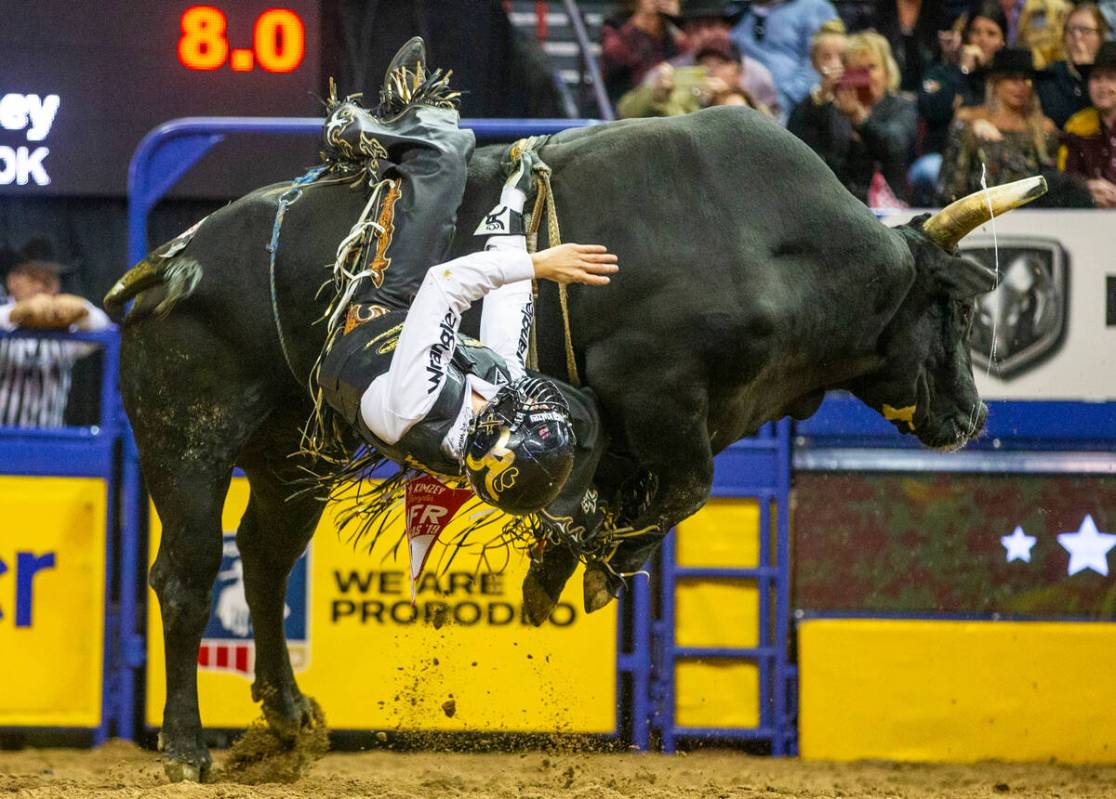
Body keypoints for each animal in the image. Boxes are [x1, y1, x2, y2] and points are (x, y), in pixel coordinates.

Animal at [106, 107, 1035, 781]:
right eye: (955, 307)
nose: (970, 417)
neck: (771, 245)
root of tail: (172, 260)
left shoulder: (635, 426)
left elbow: (635, 496)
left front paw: (560, 565)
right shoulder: (658, 394)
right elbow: (688, 485)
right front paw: (584, 575)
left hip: (291, 453)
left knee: (263, 562)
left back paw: (289, 719)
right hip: (188, 441)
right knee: (186, 576)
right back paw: (185, 745)